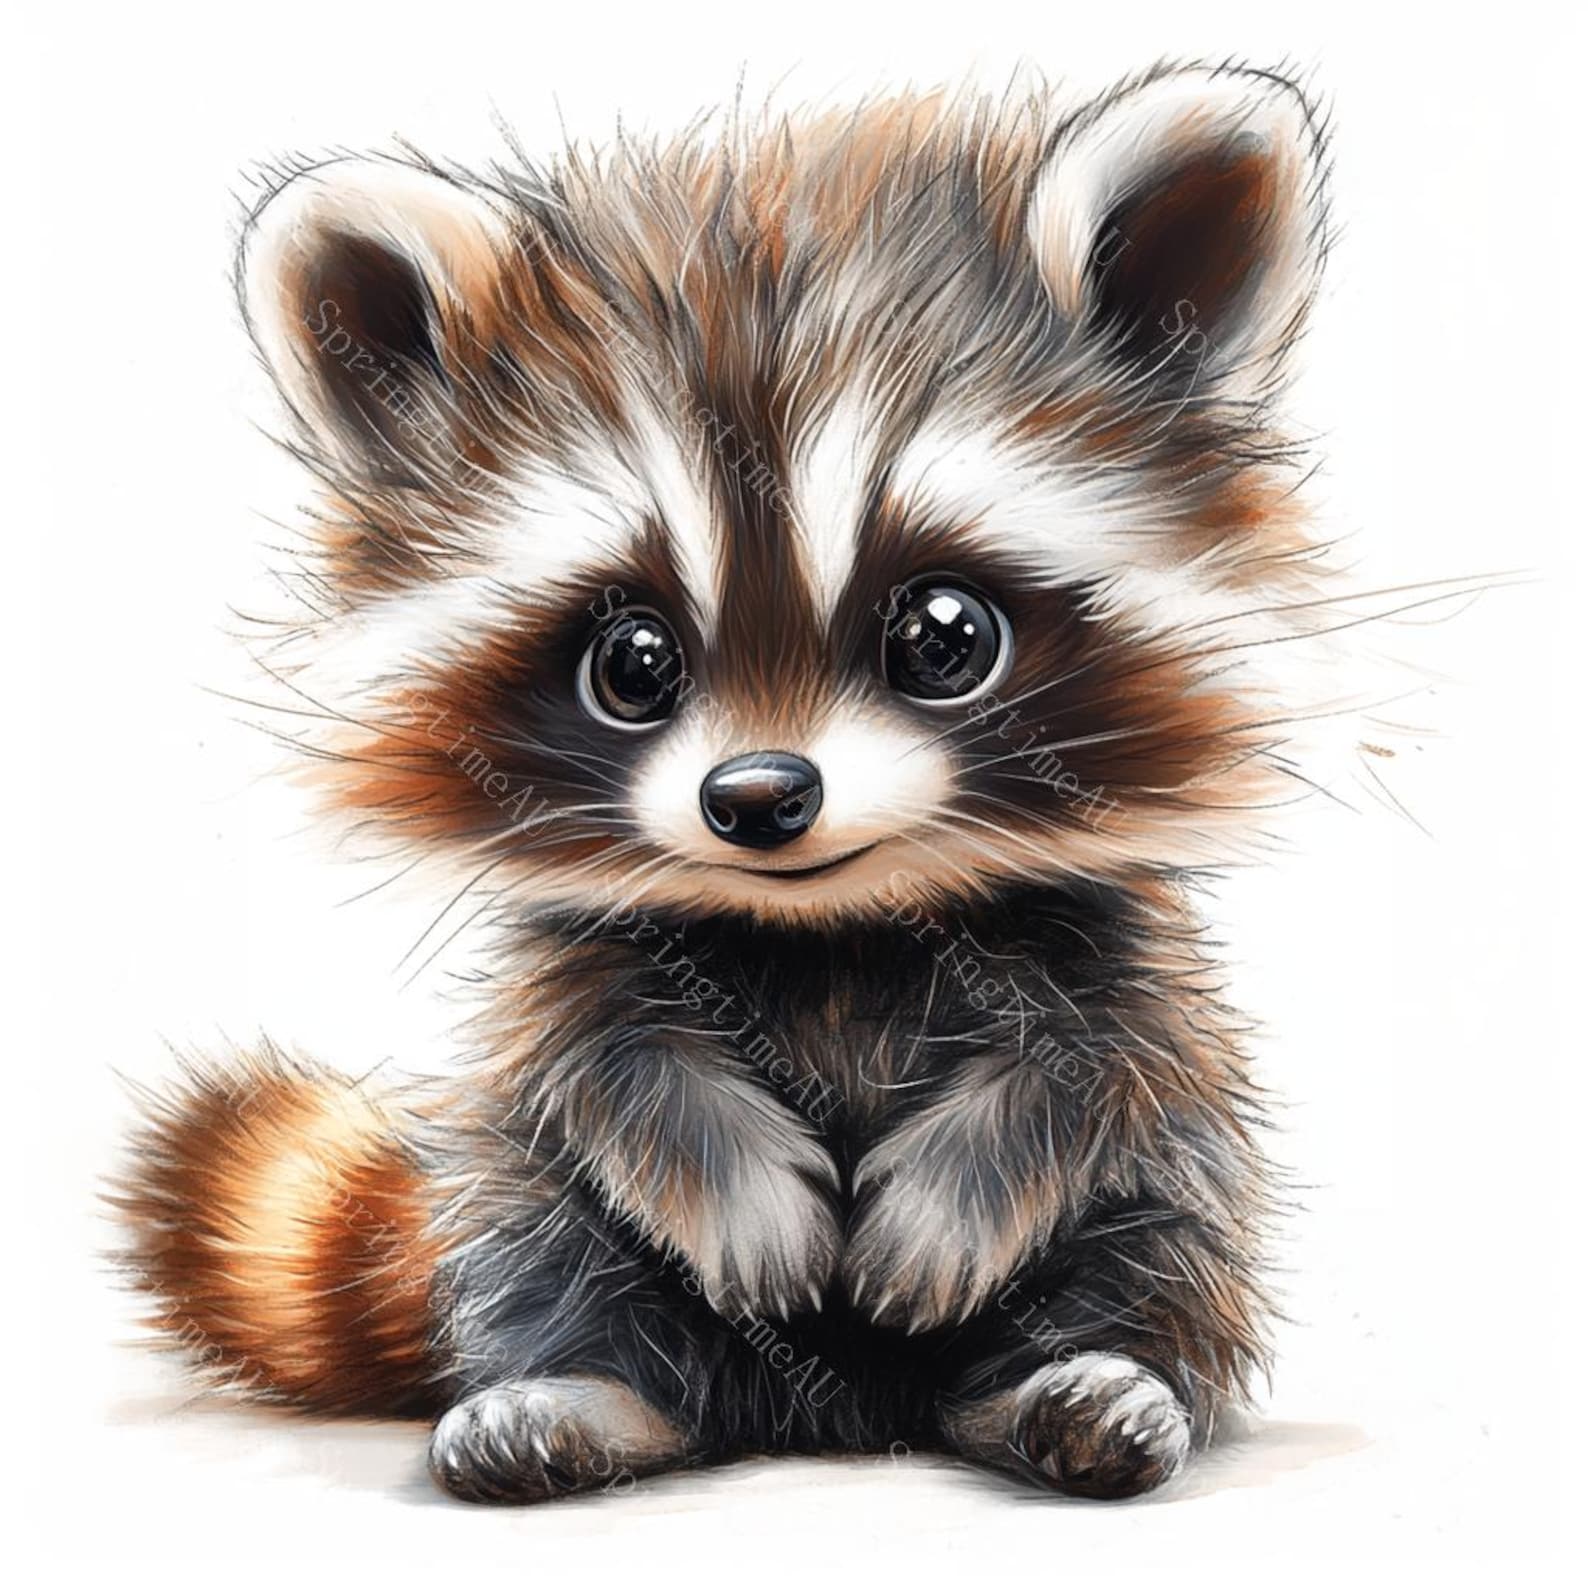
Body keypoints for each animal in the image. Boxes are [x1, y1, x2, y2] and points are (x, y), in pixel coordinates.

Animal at [118, 62, 1351, 1503]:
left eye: (943, 635)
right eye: (633, 661)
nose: (759, 798)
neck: (826, 926)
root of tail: (839, 1419)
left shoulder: (1118, 947)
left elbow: (1098, 1065)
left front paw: (969, 1184)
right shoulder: (581, 964)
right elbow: (606, 1068)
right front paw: (724, 1182)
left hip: (1171, 1225)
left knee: (1164, 1240)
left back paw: (1083, 1382)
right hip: (532, 1223)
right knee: (546, 1238)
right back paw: (589, 1394)